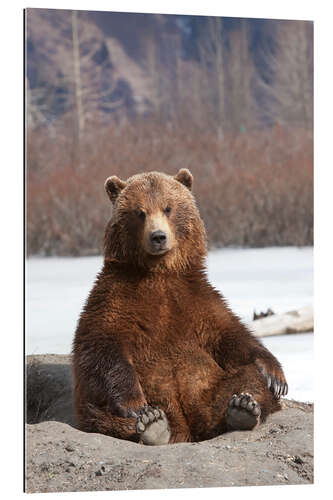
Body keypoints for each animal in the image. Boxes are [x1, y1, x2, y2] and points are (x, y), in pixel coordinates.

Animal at [71, 169, 286, 446]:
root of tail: (187, 429)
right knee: (100, 414)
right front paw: (136, 404)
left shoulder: (197, 301)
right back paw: (153, 424)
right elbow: (101, 346)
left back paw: (242, 409)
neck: (159, 273)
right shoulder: (113, 298)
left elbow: (233, 336)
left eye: (168, 208)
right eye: (139, 212)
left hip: (210, 387)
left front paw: (275, 376)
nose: (158, 237)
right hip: (99, 407)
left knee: (246, 380)